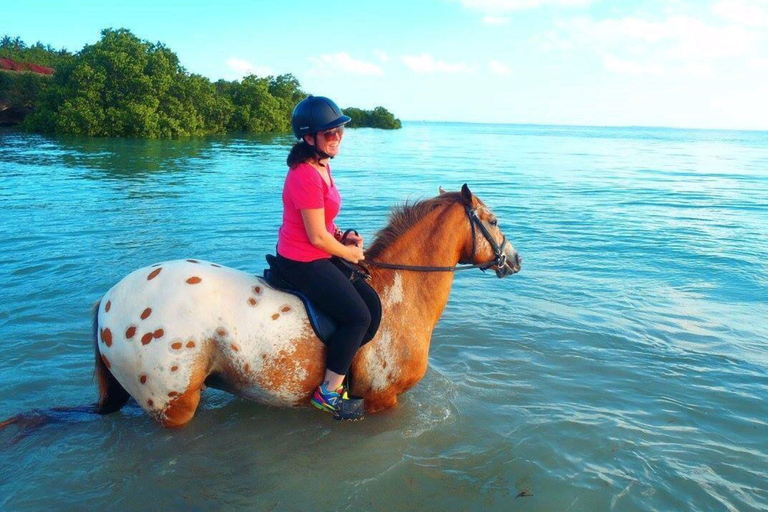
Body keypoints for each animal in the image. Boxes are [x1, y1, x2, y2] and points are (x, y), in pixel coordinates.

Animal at [1, 183, 520, 432]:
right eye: (494, 220)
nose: (514, 259)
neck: (399, 291)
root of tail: (108, 300)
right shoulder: (382, 401)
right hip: (173, 406)